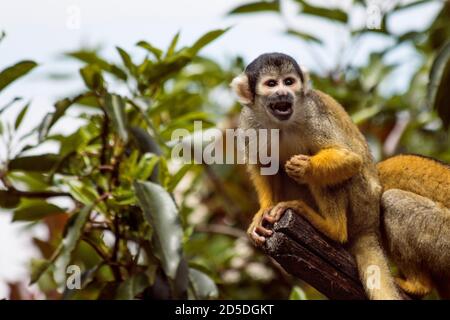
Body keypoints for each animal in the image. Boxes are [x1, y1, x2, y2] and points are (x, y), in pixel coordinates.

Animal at [232, 52, 400, 300]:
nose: (283, 93)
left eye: (289, 82)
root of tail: (370, 226)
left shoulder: (313, 113)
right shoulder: (248, 121)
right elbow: (262, 164)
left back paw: (331, 227)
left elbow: (351, 159)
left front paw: (307, 168)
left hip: (361, 201)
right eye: (271, 84)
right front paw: (263, 212)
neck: (280, 123)